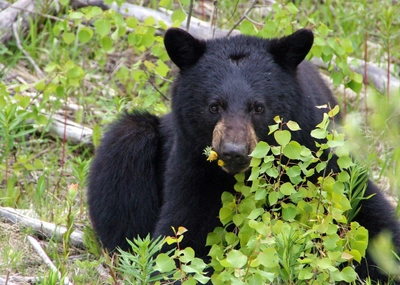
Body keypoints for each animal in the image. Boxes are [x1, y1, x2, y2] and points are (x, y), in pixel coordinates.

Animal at [87, 28, 400, 282]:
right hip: (132, 140)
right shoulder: (192, 165)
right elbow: (181, 235)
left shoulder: (321, 158)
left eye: (258, 107)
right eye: (214, 106)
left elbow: (370, 220)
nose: (233, 152)